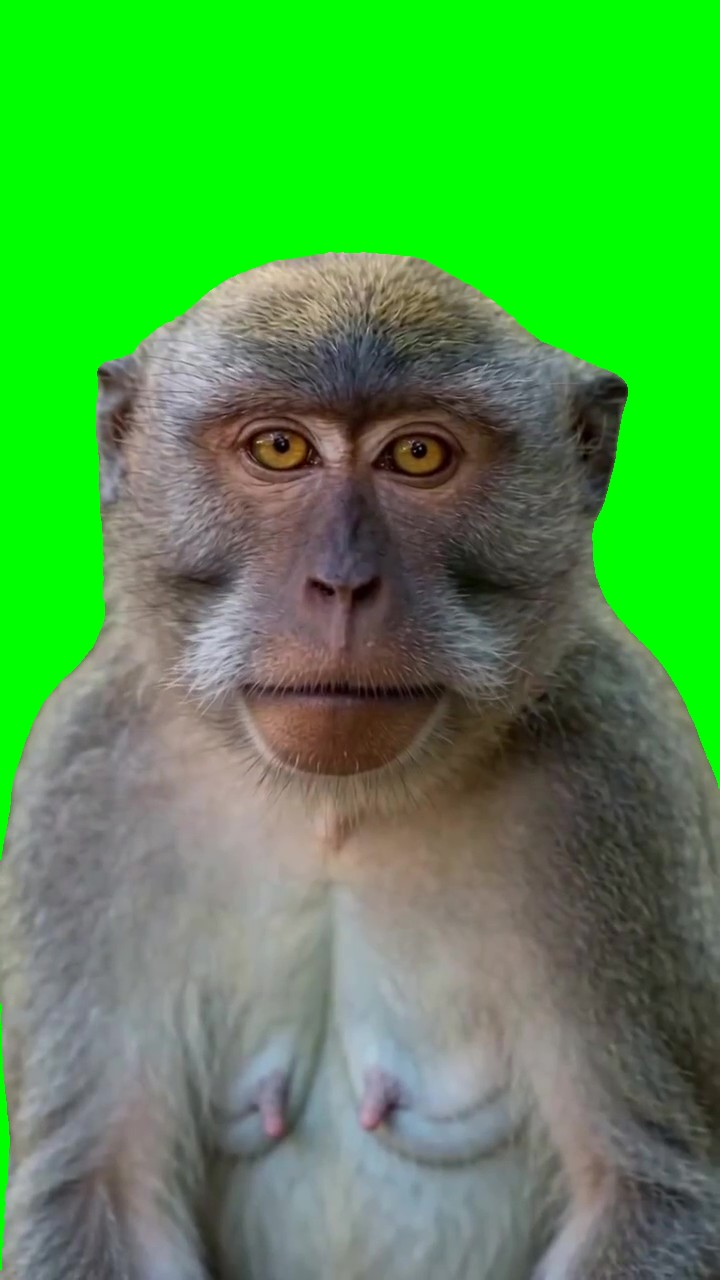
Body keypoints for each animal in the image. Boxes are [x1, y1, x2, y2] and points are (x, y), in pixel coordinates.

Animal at [1, 252, 719, 1280]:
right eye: (279, 449)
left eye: (417, 456)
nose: (342, 585)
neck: (333, 811)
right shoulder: (84, 784)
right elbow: (97, 1191)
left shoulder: (620, 777)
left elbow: (647, 1191)